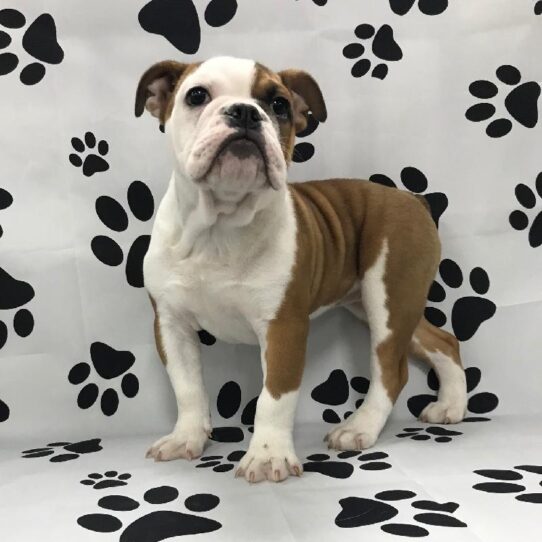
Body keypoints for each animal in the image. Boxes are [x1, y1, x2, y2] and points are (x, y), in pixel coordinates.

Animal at [135, 56, 468, 484]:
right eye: (196, 95)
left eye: (279, 104)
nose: (245, 111)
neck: (220, 226)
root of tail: (413, 200)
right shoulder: (171, 325)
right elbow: (188, 387)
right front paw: (186, 437)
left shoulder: (284, 328)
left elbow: (274, 398)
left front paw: (267, 456)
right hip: (389, 301)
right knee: (442, 340)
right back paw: (451, 406)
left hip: (389, 295)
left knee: (392, 370)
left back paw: (359, 428)